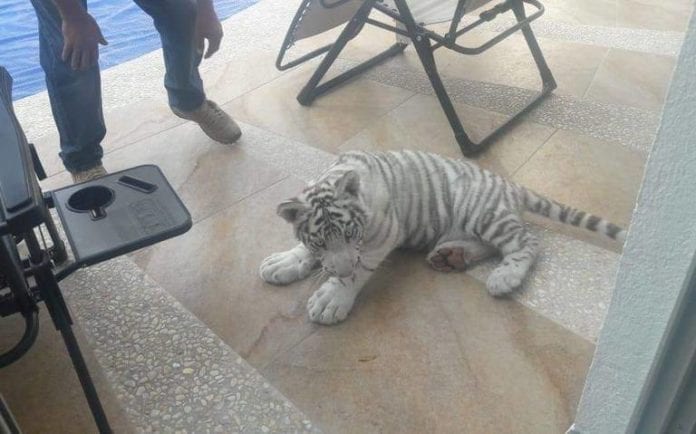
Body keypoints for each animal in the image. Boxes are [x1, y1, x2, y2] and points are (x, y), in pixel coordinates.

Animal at [259, 150, 626, 325]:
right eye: (321, 241)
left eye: (352, 233)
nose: (341, 268)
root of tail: (508, 184)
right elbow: (306, 250)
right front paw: (286, 261)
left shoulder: (384, 234)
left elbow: (358, 269)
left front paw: (332, 298)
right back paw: (451, 257)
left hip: (481, 211)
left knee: (528, 241)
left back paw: (505, 276)